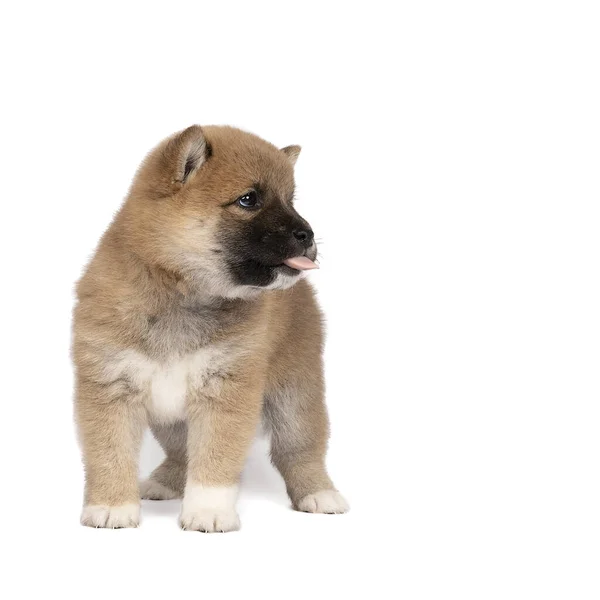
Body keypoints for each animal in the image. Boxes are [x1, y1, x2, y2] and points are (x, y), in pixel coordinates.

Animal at [72, 125, 350, 528]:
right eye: (249, 200)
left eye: (290, 200)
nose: (308, 234)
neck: (179, 295)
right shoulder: (110, 388)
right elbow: (109, 455)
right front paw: (111, 506)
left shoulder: (226, 391)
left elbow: (215, 461)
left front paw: (208, 511)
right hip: (173, 421)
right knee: (181, 453)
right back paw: (165, 481)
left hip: (294, 397)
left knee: (301, 450)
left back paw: (319, 493)